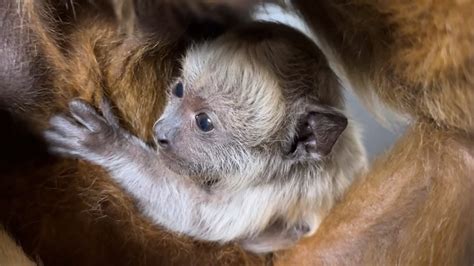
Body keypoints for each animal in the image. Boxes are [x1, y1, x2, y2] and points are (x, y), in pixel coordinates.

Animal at [43, 21, 366, 252]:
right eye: (179, 90)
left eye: (204, 122)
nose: (161, 132)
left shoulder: (276, 189)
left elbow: (201, 216)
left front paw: (109, 143)